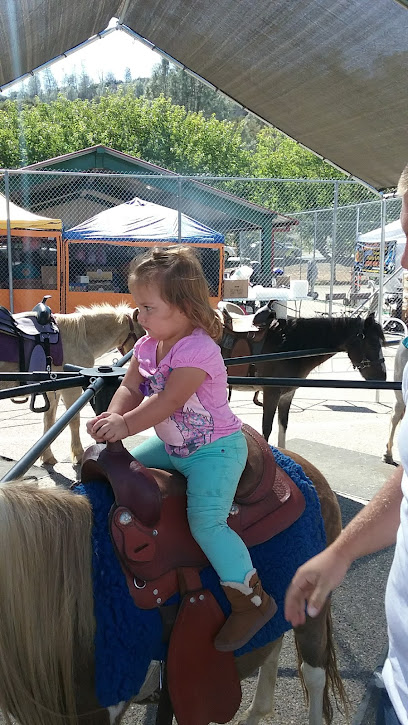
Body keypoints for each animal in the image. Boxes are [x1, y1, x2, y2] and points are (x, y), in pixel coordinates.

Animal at [0, 304, 143, 464]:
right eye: (143, 332)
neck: (83, 338)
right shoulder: (71, 390)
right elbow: (74, 420)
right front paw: (79, 454)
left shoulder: (53, 391)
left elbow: (49, 421)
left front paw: (47, 456)